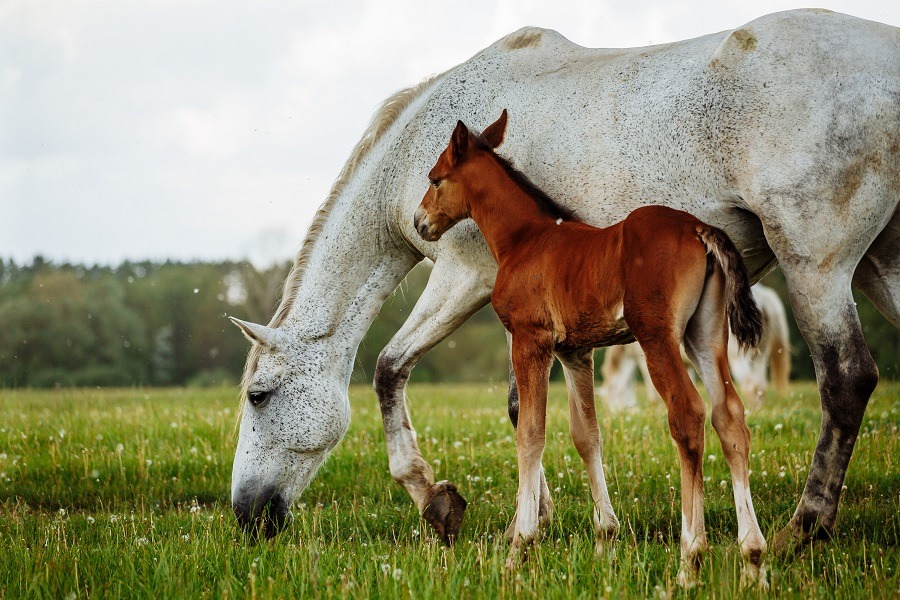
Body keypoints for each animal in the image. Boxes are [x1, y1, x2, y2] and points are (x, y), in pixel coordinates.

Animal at [414, 110, 768, 584]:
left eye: (435, 179)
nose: (421, 222)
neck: (524, 240)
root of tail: (699, 229)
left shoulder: (531, 341)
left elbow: (531, 434)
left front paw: (519, 547)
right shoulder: (575, 353)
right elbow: (586, 436)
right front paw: (605, 543)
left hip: (657, 336)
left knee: (688, 415)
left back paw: (690, 560)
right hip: (705, 335)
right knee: (728, 417)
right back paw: (753, 559)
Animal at [600, 284, 792, 410]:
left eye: (610, 396)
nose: (615, 413)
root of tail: (763, 297)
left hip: (738, 358)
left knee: (751, 386)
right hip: (759, 356)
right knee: (760, 387)